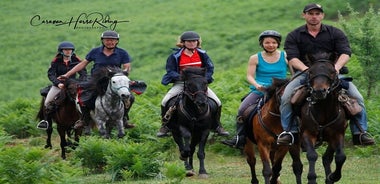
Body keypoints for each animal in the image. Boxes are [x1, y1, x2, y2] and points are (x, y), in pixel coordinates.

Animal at [300, 52, 348, 184]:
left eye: (332, 71)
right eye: (311, 72)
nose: (319, 91)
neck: (324, 110)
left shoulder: (338, 134)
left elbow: (341, 157)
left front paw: (333, 176)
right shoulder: (307, 134)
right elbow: (312, 155)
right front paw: (312, 179)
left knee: (327, 157)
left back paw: (329, 178)